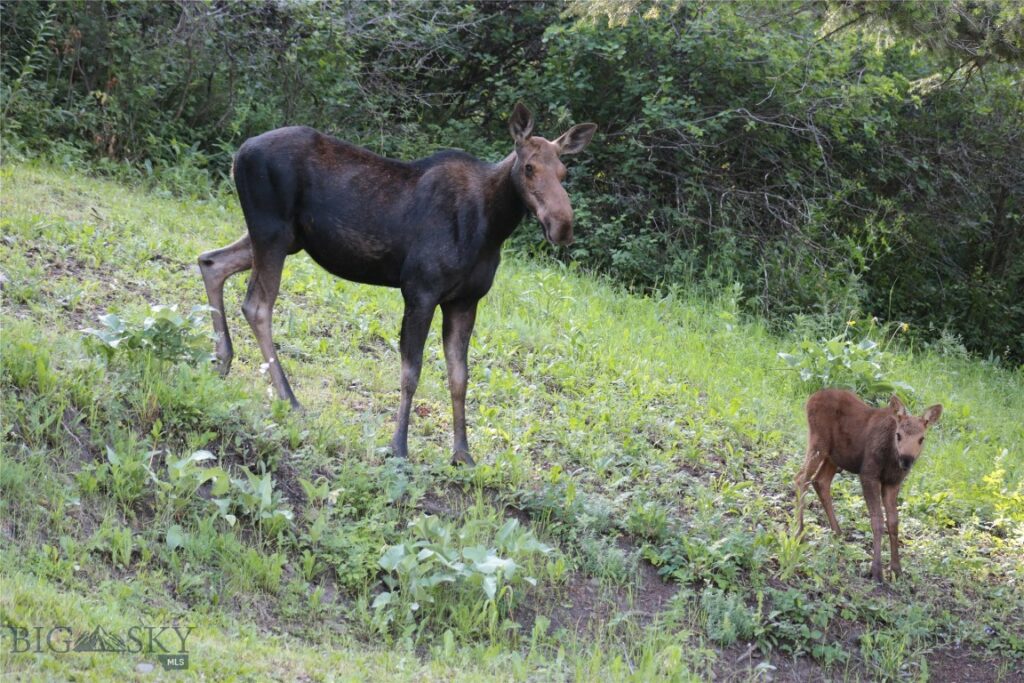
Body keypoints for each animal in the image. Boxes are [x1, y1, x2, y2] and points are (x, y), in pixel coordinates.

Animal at [199, 102, 598, 464]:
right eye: (529, 167)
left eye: (563, 171)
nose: (563, 226)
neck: (492, 227)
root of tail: (239, 153)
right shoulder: (419, 290)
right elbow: (412, 371)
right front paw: (399, 447)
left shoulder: (465, 300)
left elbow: (460, 377)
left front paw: (462, 454)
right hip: (273, 232)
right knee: (256, 304)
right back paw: (288, 398)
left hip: (284, 238)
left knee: (211, 261)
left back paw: (222, 361)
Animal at [790, 389, 942, 581]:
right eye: (898, 435)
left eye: (922, 439)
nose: (906, 461)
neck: (891, 461)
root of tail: (811, 398)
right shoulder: (868, 475)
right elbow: (877, 520)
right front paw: (877, 571)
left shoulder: (893, 483)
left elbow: (894, 522)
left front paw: (896, 569)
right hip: (819, 443)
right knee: (801, 478)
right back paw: (799, 532)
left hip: (835, 456)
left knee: (820, 481)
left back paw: (837, 532)